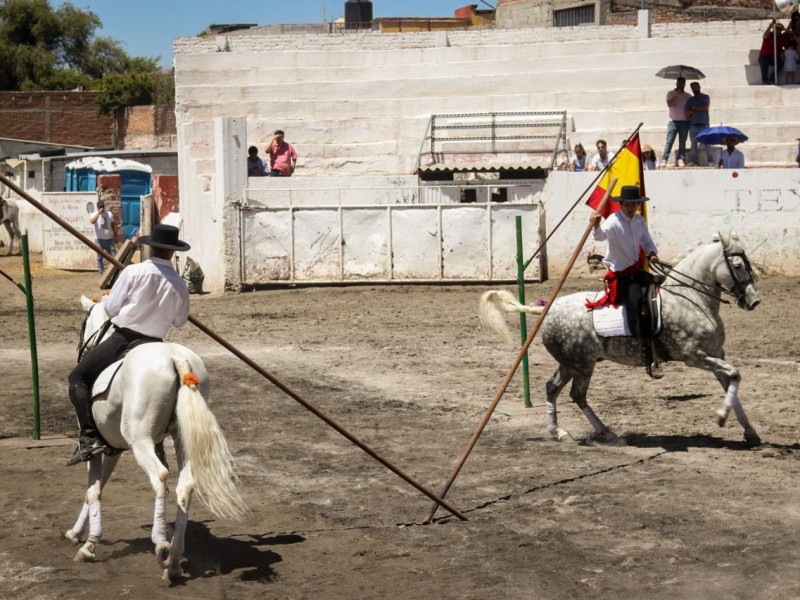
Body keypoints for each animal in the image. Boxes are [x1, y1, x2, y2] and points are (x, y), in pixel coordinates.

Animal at [65, 296, 247, 580]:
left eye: (84, 324)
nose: (81, 349)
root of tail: (177, 358)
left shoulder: (98, 448)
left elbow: (93, 490)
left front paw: (88, 545)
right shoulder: (113, 448)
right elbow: (98, 487)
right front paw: (78, 534)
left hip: (139, 439)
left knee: (160, 477)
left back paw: (161, 542)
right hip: (182, 438)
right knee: (185, 486)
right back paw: (173, 561)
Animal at [482, 232, 764, 448]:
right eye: (737, 266)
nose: (754, 301)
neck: (691, 299)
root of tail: (547, 310)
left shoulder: (716, 354)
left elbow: (731, 384)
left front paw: (750, 433)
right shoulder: (695, 357)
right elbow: (735, 374)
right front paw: (721, 417)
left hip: (570, 363)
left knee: (553, 388)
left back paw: (561, 433)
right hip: (582, 365)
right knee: (577, 395)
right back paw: (608, 434)